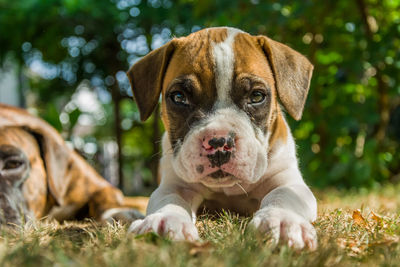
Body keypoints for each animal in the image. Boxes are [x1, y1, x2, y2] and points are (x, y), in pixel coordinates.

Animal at [126, 27, 318, 251]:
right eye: (179, 97)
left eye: (257, 96)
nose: (218, 142)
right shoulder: (176, 185)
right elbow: (170, 199)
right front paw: (164, 220)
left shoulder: (289, 181)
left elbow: (284, 195)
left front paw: (282, 221)